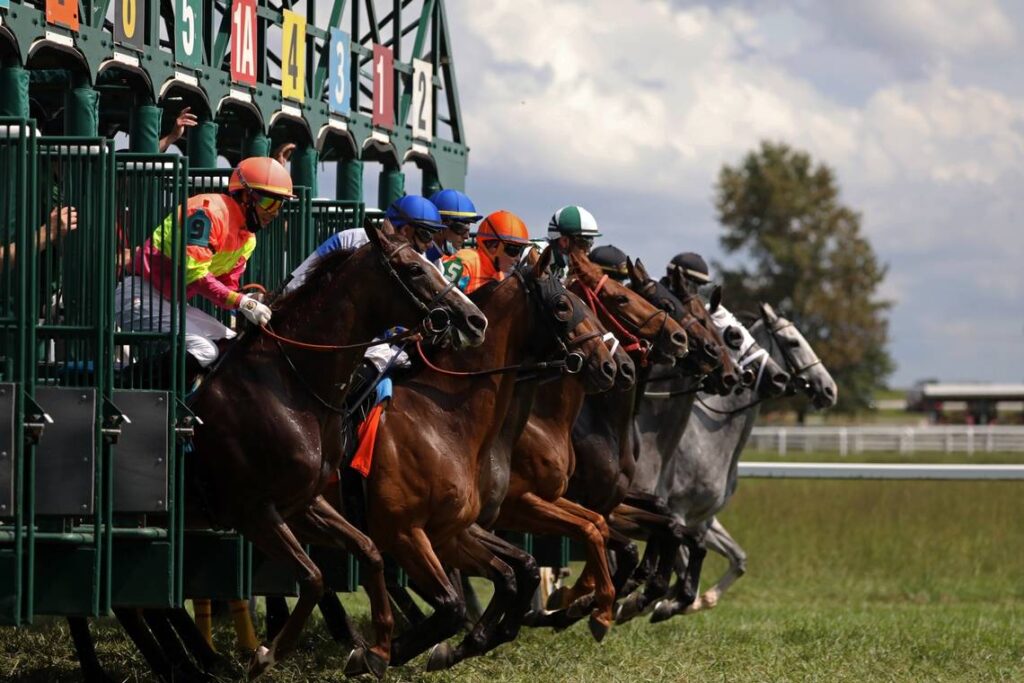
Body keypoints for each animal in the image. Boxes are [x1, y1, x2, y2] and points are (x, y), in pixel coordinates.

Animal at [186, 224, 489, 679]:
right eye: (415, 269)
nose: (475, 319)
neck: (286, 384)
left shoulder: (302, 503)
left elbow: (367, 551)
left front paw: (376, 650)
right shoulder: (251, 510)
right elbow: (313, 577)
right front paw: (267, 653)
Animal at [651, 301, 835, 622]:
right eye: (793, 342)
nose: (829, 389)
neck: (710, 439)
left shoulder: (703, 519)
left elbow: (737, 559)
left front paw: (703, 599)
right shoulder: (677, 513)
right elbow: (680, 568)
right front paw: (657, 604)